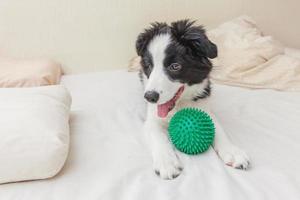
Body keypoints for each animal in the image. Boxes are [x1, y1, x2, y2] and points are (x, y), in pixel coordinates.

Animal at [135, 19, 250, 180]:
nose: (150, 97)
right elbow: (158, 137)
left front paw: (232, 151)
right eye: (149, 65)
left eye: (175, 66)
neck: (180, 104)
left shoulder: (204, 106)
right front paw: (167, 163)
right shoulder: (152, 120)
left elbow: (218, 129)